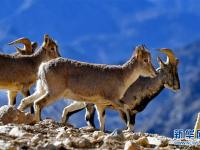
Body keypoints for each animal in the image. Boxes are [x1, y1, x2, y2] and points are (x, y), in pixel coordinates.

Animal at [18, 44, 156, 131]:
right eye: (145, 60)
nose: (154, 73)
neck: (121, 75)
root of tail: (43, 66)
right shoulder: (112, 99)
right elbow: (126, 108)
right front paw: (129, 128)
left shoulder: (100, 104)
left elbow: (102, 120)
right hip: (54, 92)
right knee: (38, 103)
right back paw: (38, 122)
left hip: (42, 89)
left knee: (27, 100)